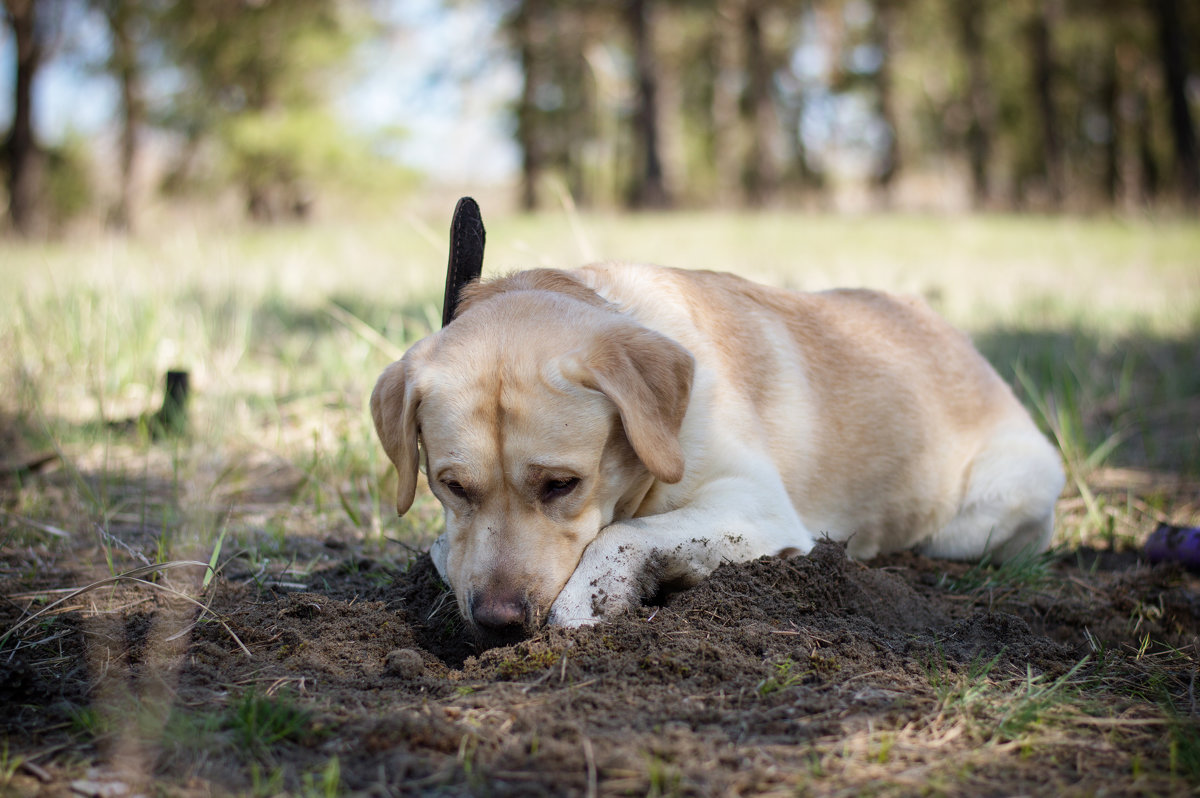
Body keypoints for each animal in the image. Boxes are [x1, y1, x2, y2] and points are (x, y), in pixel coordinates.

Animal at [369, 266, 1065, 643]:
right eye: (451, 486)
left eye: (562, 485)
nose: (498, 621)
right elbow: (446, 549)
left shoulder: (758, 507)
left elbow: (619, 536)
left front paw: (595, 598)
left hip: (983, 515)